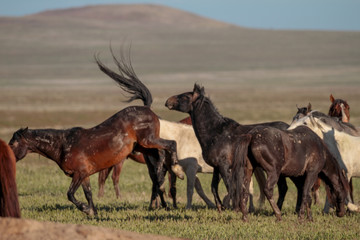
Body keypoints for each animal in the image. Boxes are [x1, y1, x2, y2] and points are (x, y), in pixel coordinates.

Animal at [9, 48, 183, 216]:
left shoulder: (79, 173)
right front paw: (93, 212)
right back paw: (162, 192)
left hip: (149, 140)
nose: (9, 158)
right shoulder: (84, 175)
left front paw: (86, 209)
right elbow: (88, 194)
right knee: (159, 166)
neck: (63, 145)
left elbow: (70, 194)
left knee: (170, 145)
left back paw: (177, 171)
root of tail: (147, 108)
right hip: (143, 147)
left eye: (14, 143)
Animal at [165, 83, 288, 211]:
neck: (217, 133)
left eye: (185, 97)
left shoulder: (224, 166)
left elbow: (230, 187)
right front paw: (220, 206)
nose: (168, 101)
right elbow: (214, 187)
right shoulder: (216, 167)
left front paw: (232, 207)